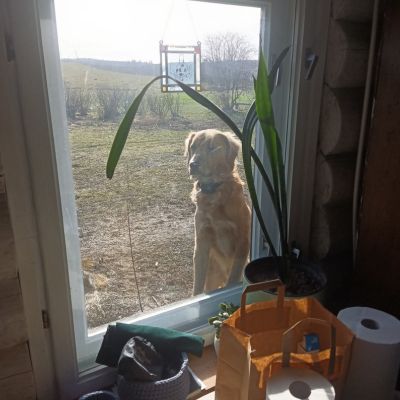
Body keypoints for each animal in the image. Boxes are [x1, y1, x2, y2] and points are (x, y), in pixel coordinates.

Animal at [185, 129, 251, 295]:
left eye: (212, 148)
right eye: (193, 147)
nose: (193, 164)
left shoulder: (242, 239)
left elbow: (234, 276)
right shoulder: (201, 240)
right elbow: (198, 282)